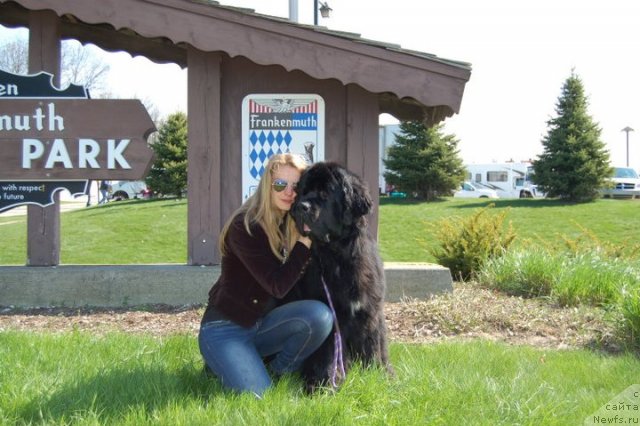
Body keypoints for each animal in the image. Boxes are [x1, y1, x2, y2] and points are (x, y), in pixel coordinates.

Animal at [284, 161, 390, 392]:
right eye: (303, 191)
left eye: (325, 194)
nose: (300, 207)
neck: (338, 256)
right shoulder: (331, 313)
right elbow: (329, 353)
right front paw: (325, 384)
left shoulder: (369, 311)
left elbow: (373, 346)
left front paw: (379, 377)